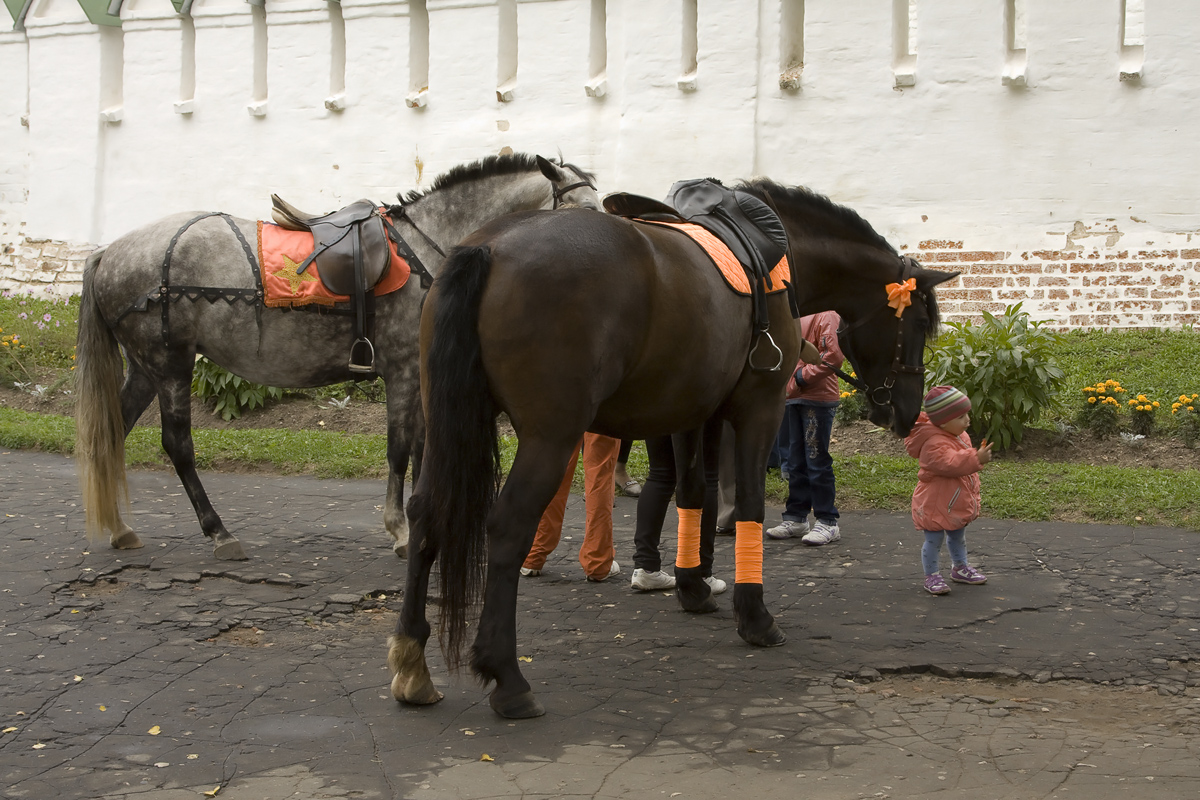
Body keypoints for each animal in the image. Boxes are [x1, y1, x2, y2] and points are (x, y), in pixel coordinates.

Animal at [74, 153, 601, 561]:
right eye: (580, 208)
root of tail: (109, 253)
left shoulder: (421, 374)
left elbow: (423, 449)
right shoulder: (403, 372)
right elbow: (400, 449)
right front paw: (400, 531)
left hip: (146, 369)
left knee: (113, 432)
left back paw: (120, 528)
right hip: (171, 364)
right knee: (177, 445)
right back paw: (218, 532)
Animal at [387, 179, 959, 719]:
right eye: (918, 323)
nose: (906, 410)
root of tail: (490, 246)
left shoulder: (690, 413)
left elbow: (692, 495)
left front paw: (694, 586)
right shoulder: (760, 408)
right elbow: (748, 503)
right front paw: (755, 616)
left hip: (445, 422)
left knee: (426, 512)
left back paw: (412, 660)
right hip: (551, 434)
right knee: (507, 527)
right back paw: (507, 677)